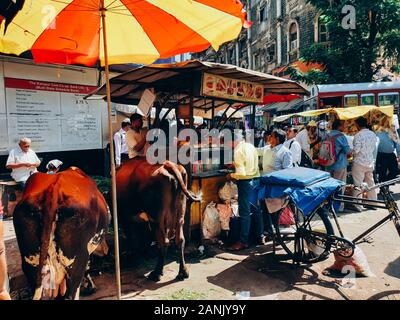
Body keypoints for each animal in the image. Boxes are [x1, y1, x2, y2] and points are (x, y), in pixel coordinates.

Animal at [12, 168, 109, 300]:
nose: (106, 250)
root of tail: (54, 187)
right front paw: (91, 287)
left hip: (31, 263)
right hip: (77, 261)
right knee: (71, 293)